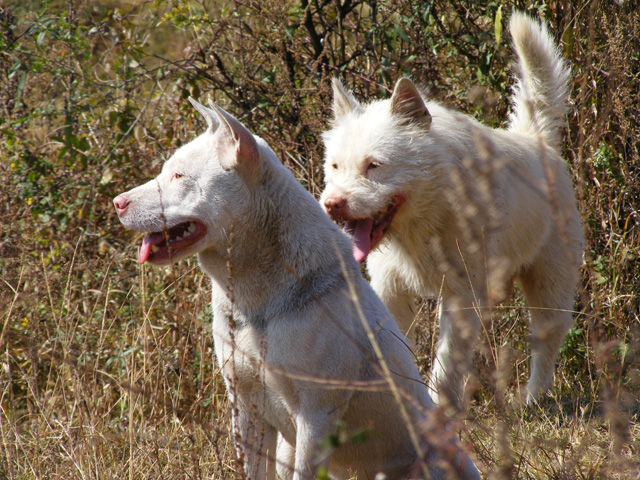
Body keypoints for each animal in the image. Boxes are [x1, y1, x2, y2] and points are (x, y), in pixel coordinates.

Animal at [114, 96, 480, 476]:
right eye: (166, 171)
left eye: (178, 176)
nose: (117, 203)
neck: (256, 305)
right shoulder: (246, 408)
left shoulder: (316, 415)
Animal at [322, 12, 584, 404]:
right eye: (335, 166)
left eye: (373, 165)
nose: (331, 205)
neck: (429, 216)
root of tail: (538, 141)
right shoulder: (391, 290)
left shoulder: (460, 299)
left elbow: (444, 369)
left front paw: (437, 410)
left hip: (550, 289)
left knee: (546, 345)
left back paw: (532, 400)